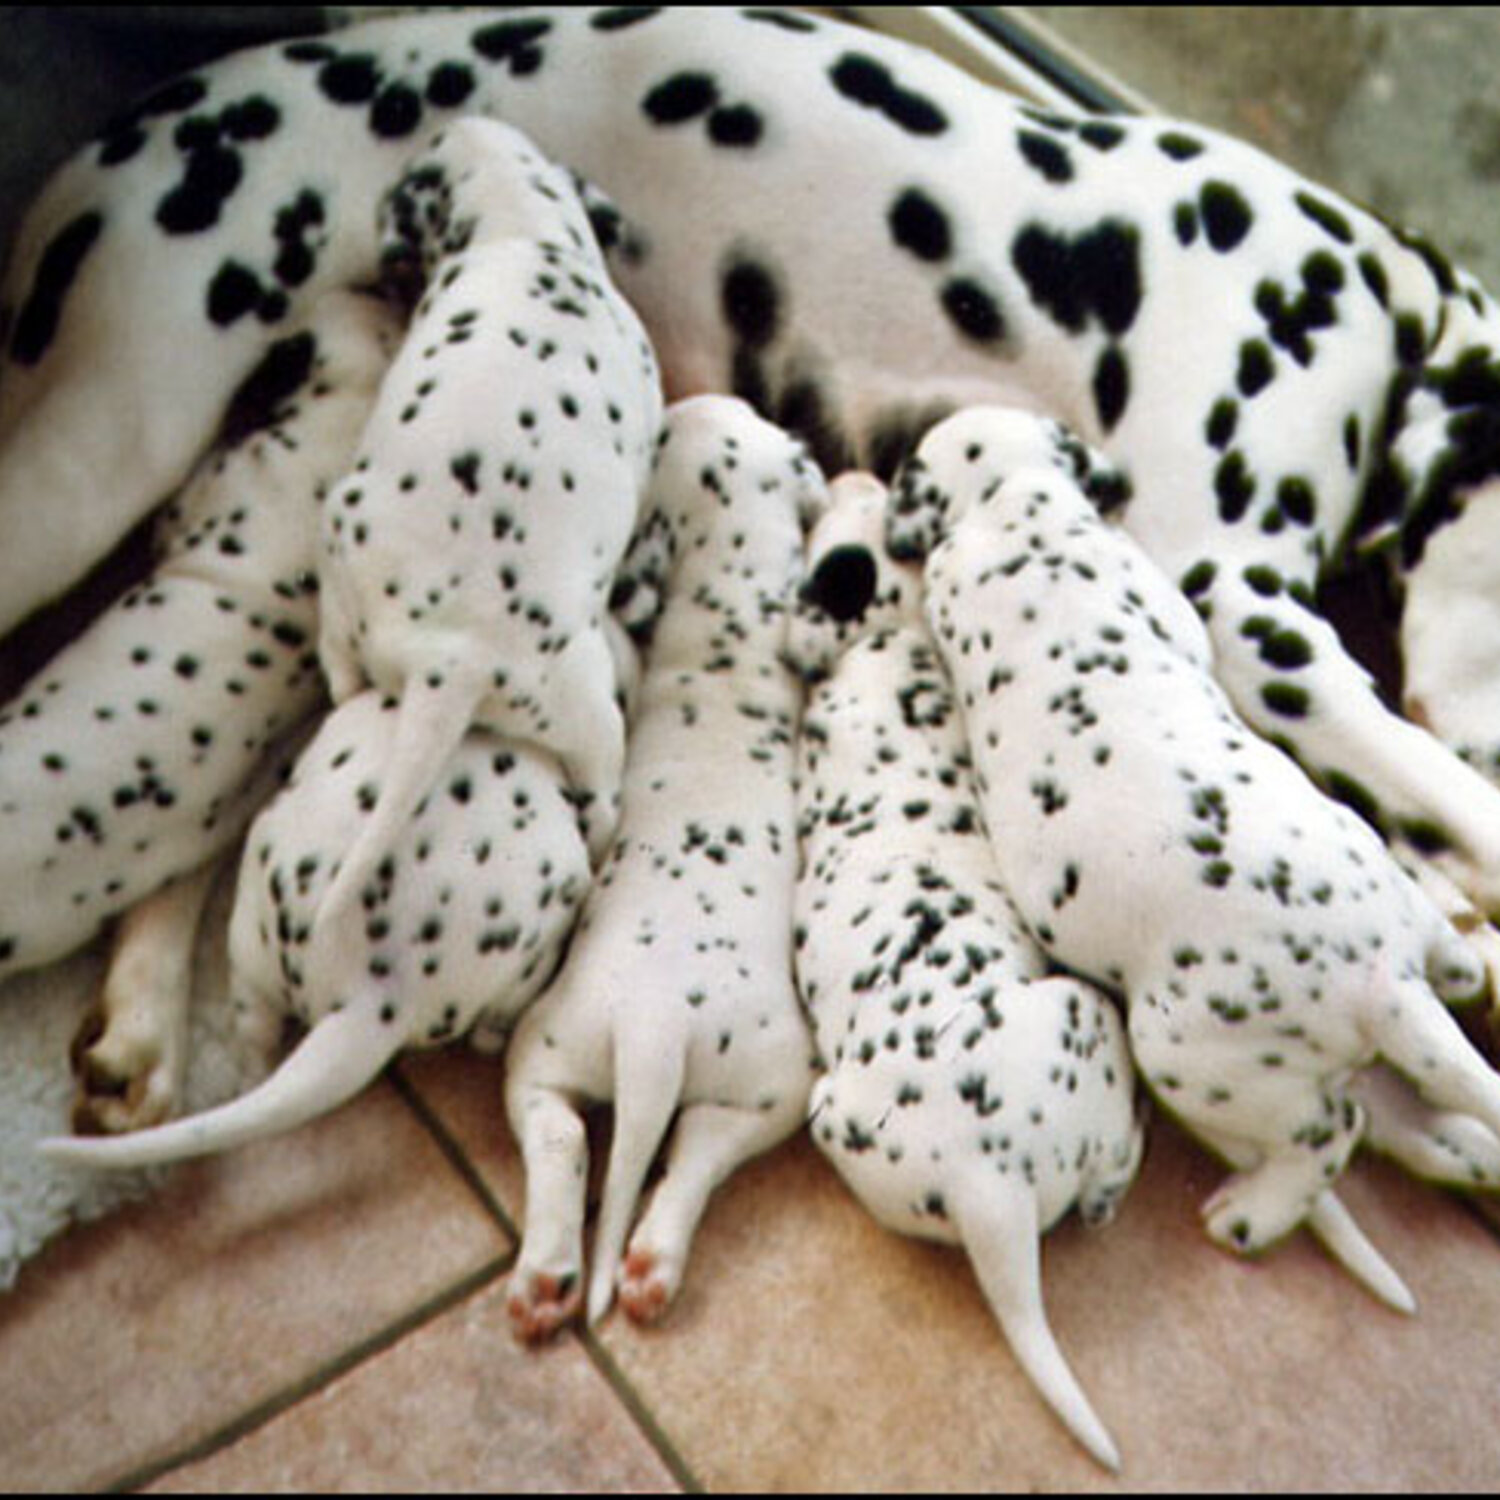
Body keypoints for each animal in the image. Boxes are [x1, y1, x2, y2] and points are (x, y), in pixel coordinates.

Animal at [510, 396, 828, 1338]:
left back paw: (558, 1274)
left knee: (579, 1138)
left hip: (564, 1048)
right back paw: (628, 1267)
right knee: (677, 1146)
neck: (737, 589)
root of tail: (652, 1034)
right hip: (764, 1085)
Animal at [882, 411, 1500, 1314]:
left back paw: (1253, 1216)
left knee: (1333, 1131)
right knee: (1428, 950)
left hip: (1188, 1056)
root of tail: (1381, 981)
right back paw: (1456, 963)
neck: (1018, 505)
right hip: (1360, 855)